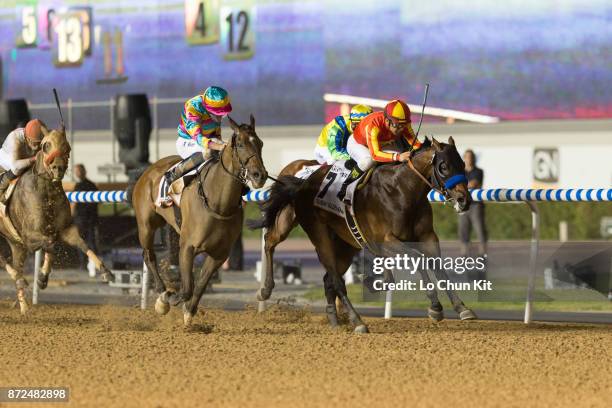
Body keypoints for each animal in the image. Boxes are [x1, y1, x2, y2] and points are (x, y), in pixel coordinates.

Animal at [0, 122, 115, 314]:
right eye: (45, 145)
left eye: (67, 146)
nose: (58, 168)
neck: (47, 192)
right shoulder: (30, 237)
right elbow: (51, 245)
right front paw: (41, 277)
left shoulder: (64, 229)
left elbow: (82, 244)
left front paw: (106, 271)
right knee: (5, 260)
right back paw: (19, 280)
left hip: (15, 243)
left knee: (17, 264)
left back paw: (23, 304)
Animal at [130, 115, 266, 326]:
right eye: (241, 144)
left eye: (260, 143)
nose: (260, 175)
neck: (218, 203)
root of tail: (149, 169)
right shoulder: (188, 247)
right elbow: (187, 288)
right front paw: (173, 298)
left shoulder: (219, 254)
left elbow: (200, 285)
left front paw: (189, 313)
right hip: (146, 225)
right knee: (149, 255)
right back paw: (162, 297)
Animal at [251, 136, 476, 332]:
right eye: (443, 166)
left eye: (462, 164)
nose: (464, 200)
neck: (403, 190)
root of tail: (303, 184)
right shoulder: (386, 241)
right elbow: (418, 259)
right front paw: (435, 306)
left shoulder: (427, 236)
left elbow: (437, 265)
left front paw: (462, 308)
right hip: (314, 232)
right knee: (276, 244)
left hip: (345, 246)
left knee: (328, 279)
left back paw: (335, 320)